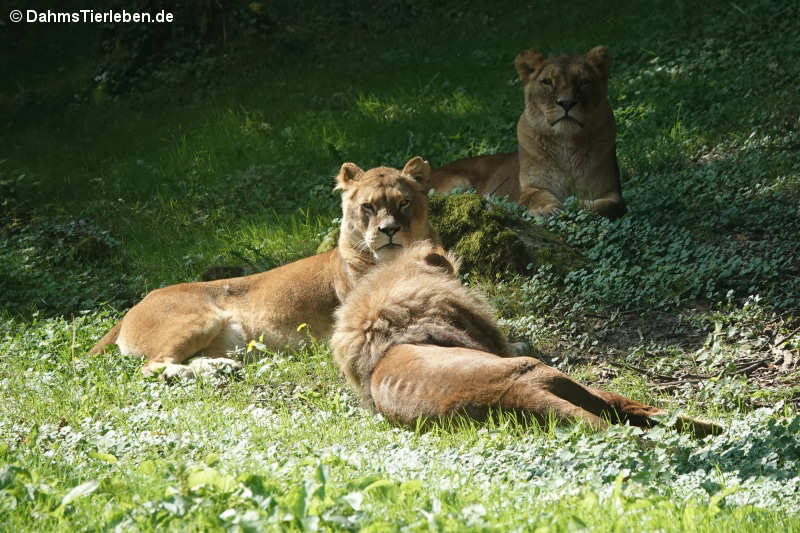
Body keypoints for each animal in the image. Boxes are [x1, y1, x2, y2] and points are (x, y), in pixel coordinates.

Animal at [90, 156, 440, 376]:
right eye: (368, 206)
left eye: (403, 202)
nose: (389, 230)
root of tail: (135, 306)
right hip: (199, 319)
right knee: (151, 367)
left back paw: (220, 368)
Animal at [432, 45, 624, 219]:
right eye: (547, 82)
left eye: (583, 82)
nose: (566, 103)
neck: (565, 144)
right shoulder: (529, 188)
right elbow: (535, 196)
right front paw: (548, 209)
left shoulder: (612, 191)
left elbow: (609, 206)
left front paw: (576, 204)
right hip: (458, 181)